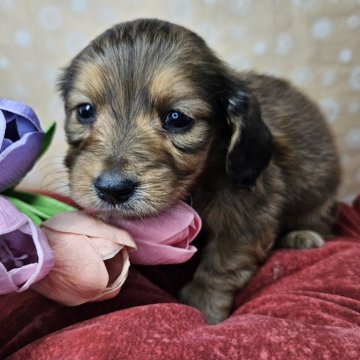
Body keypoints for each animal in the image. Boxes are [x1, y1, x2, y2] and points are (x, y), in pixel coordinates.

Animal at [58, 19, 340, 324]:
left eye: (177, 118)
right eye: (85, 111)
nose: (112, 189)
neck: (201, 181)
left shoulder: (247, 215)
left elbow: (221, 266)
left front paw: (204, 308)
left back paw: (303, 235)